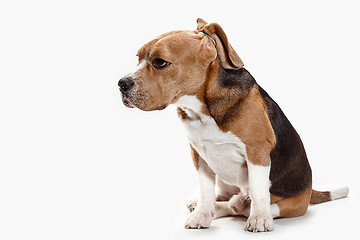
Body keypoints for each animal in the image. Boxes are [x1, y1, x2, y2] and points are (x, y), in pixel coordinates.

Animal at [119, 17, 348, 232]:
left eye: (160, 62)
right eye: (138, 58)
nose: (122, 84)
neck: (203, 110)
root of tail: (309, 192)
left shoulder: (257, 152)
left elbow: (258, 190)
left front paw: (259, 219)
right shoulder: (199, 154)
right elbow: (206, 191)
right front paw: (202, 215)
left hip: (293, 204)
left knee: (252, 205)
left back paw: (245, 204)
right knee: (225, 201)